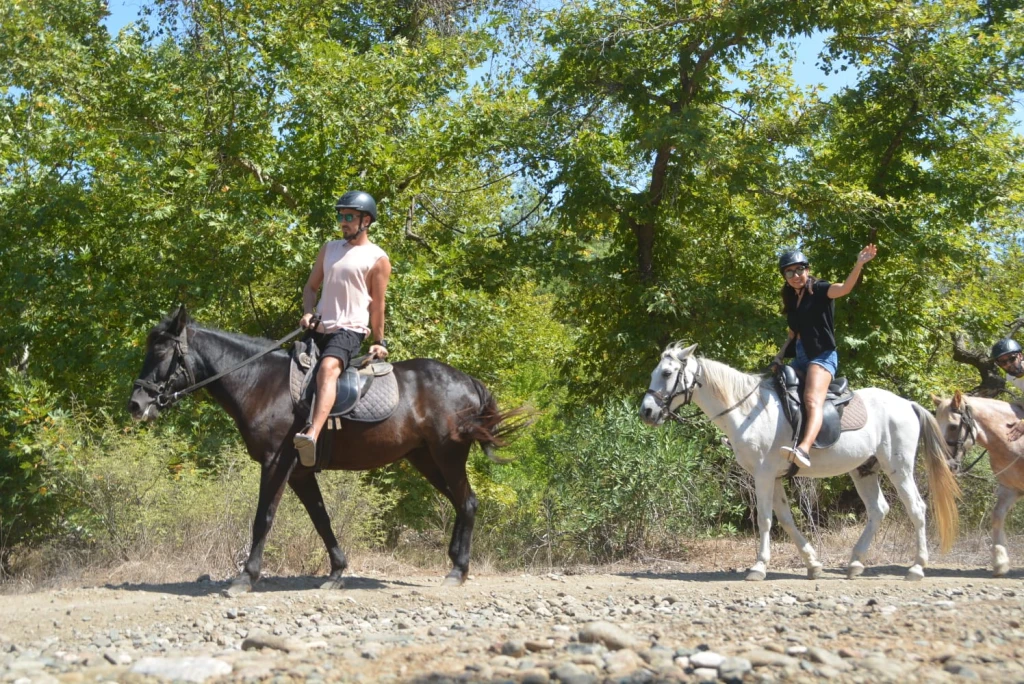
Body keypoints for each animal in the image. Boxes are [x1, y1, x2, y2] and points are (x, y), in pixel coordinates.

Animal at [127, 305, 524, 595]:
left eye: (161, 352)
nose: (136, 404)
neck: (259, 382)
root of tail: (467, 380)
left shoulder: (276, 464)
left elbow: (263, 518)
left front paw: (246, 577)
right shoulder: (300, 472)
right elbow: (321, 519)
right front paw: (337, 572)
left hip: (447, 455)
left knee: (467, 502)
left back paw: (458, 570)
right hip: (426, 458)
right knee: (461, 502)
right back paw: (456, 562)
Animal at [640, 342, 961, 581]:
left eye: (667, 373)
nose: (646, 411)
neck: (747, 410)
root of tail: (906, 404)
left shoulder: (763, 475)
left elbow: (765, 519)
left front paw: (759, 567)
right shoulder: (774, 477)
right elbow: (785, 519)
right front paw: (813, 564)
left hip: (899, 468)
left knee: (916, 508)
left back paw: (916, 567)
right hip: (864, 470)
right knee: (878, 510)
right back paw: (855, 563)